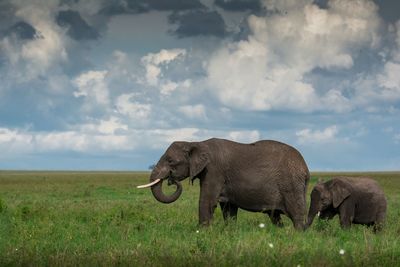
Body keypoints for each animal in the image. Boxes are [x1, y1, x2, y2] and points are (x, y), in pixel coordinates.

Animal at [138, 138, 310, 230]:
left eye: (170, 161)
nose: (171, 180)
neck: (196, 143)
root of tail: (305, 167)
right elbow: (228, 208)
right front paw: (230, 231)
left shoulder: (214, 170)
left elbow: (207, 201)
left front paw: (202, 232)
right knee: (275, 216)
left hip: (291, 185)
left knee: (296, 215)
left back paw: (297, 234)